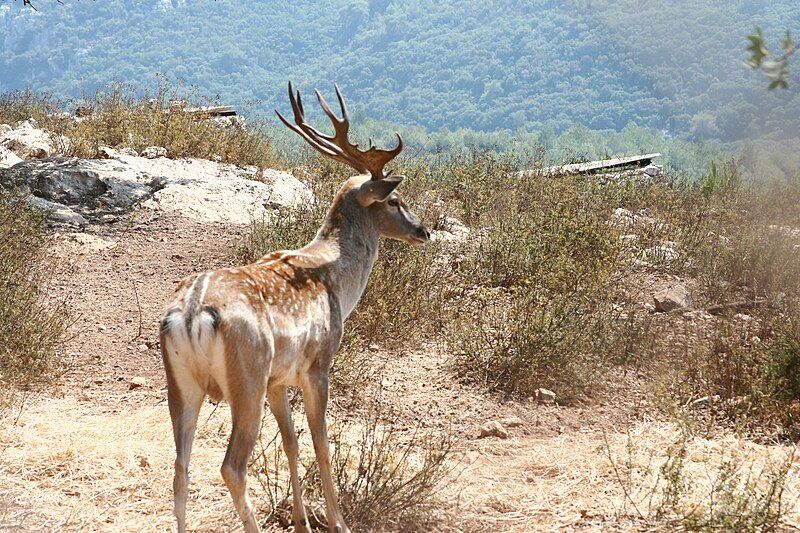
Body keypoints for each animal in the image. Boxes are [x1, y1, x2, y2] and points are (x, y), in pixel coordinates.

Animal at [162, 83, 432, 532]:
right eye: (395, 200)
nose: (424, 231)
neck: (337, 282)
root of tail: (192, 312)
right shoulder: (317, 363)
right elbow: (321, 442)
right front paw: (338, 521)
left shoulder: (278, 379)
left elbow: (291, 442)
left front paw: (302, 520)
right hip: (246, 375)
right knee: (231, 466)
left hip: (182, 382)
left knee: (180, 468)